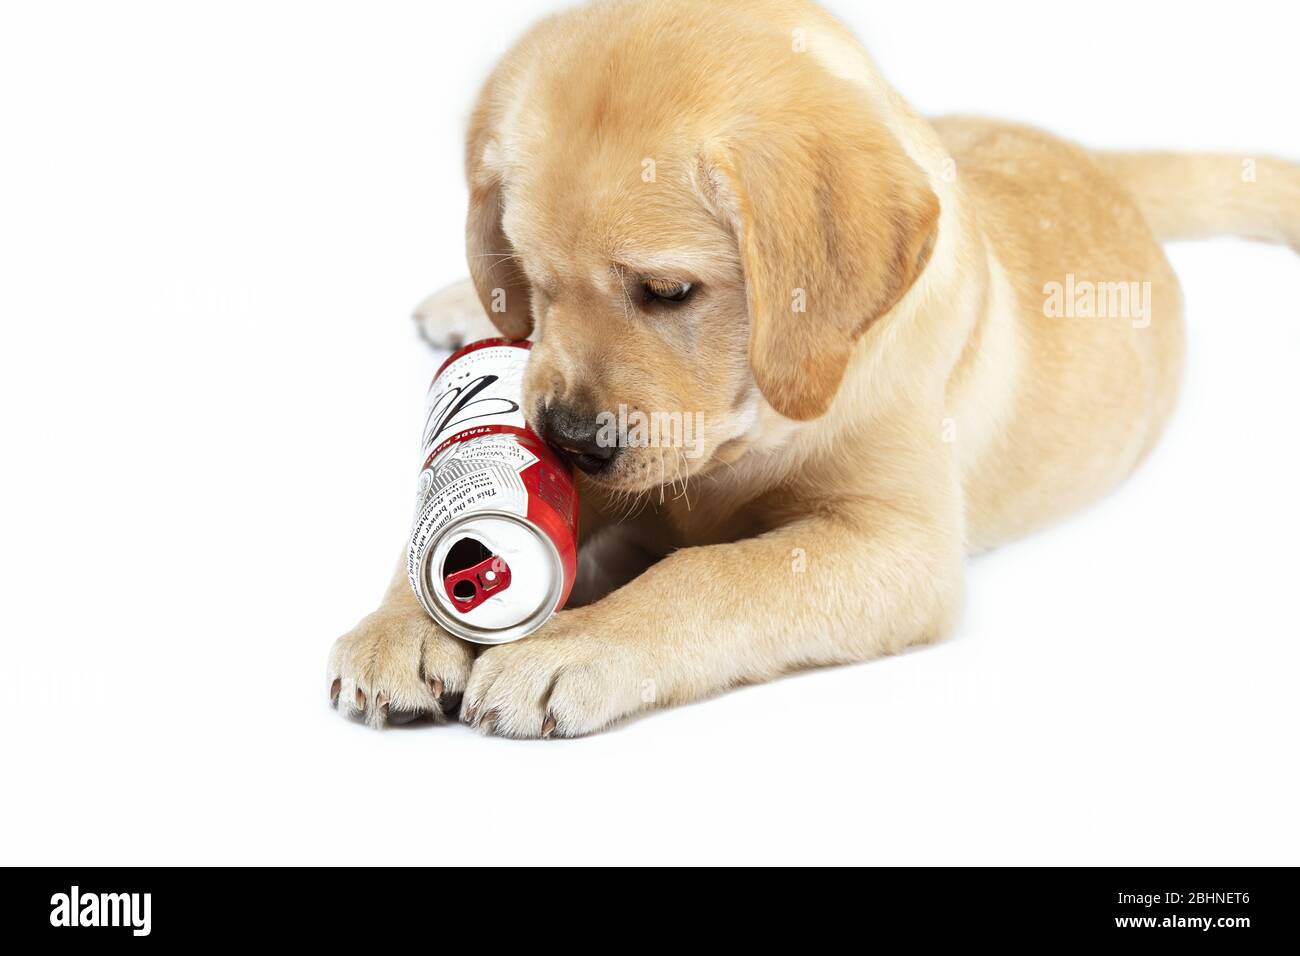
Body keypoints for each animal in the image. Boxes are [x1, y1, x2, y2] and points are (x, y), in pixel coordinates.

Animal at [327, 0, 1300, 738]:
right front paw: (401, 620)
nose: (565, 440)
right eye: (533, 282)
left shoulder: (898, 546)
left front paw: (576, 643)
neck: (754, 424)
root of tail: (1097, 160)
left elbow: (712, 573)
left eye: (668, 291)